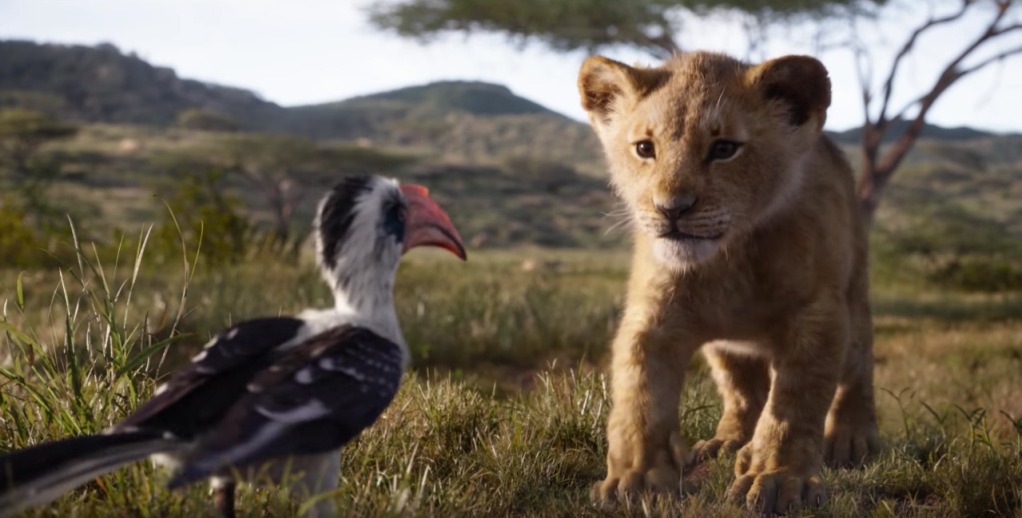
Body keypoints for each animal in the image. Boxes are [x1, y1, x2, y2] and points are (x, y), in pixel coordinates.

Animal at [577, 51, 881, 514]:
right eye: (645, 148)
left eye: (723, 149)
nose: (671, 209)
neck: (728, 258)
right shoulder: (652, 319)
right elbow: (639, 399)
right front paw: (636, 480)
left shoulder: (817, 317)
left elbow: (794, 407)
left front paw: (777, 479)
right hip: (725, 347)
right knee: (743, 391)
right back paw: (730, 442)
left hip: (854, 299)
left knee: (858, 367)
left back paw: (849, 438)